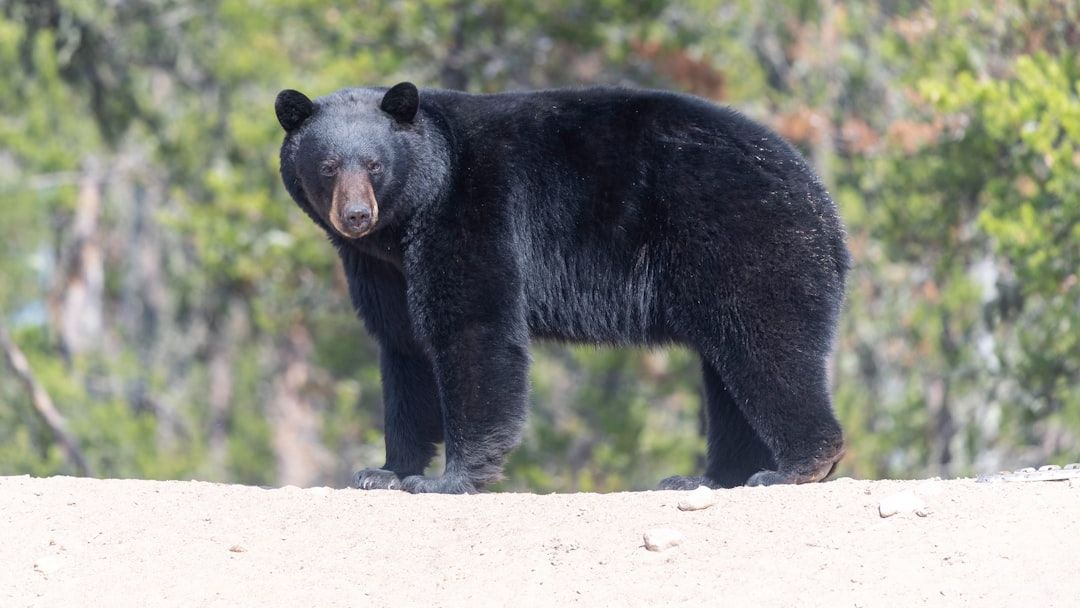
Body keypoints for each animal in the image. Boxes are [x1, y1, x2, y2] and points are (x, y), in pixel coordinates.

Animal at [275, 82, 850, 494]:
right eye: (328, 166)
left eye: (375, 164)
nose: (355, 215)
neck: (410, 215)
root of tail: (823, 205)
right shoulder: (381, 268)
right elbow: (403, 347)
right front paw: (384, 470)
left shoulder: (474, 212)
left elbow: (473, 326)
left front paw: (445, 480)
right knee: (728, 374)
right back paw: (706, 477)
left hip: (744, 242)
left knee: (767, 348)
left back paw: (793, 467)